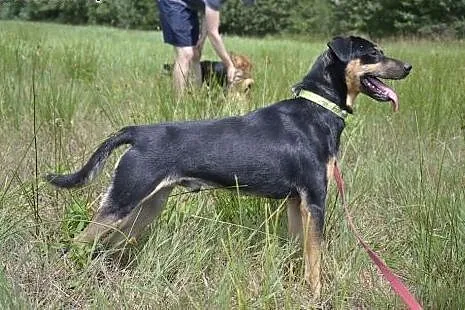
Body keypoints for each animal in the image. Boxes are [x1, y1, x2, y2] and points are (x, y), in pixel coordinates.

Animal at [46, 36, 410, 298]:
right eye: (373, 53)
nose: (408, 66)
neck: (317, 108)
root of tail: (138, 133)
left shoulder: (297, 204)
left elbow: (301, 254)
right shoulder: (315, 201)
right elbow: (316, 260)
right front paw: (318, 297)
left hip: (144, 208)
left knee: (106, 248)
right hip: (122, 202)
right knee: (76, 245)